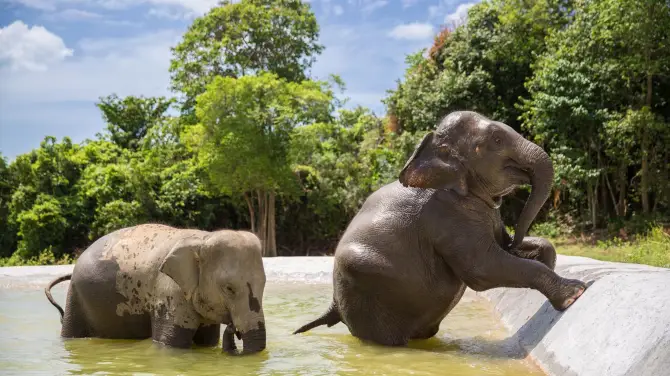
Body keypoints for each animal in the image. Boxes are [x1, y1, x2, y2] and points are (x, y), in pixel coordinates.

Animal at [45, 223, 268, 356]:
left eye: (264, 284)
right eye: (229, 288)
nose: (232, 327)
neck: (204, 239)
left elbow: (207, 341)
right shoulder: (168, 292)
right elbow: (172, 344)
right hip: (76, 298)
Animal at [294, 110, 588, 346]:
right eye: (496, 140)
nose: (516, 242)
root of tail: (333, 303)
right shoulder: (447, 217)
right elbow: (482, 269)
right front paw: (576, 292)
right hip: (367, 298)